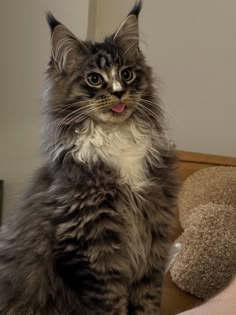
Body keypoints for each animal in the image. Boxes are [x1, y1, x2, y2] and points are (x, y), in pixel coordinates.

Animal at [0, 1, 177, 314]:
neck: (117, 136)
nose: (119, 92)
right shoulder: (93, 253)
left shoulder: (153, 243)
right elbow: (111, 306)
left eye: (127, 74)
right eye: (94, 79)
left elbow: (147, 303)